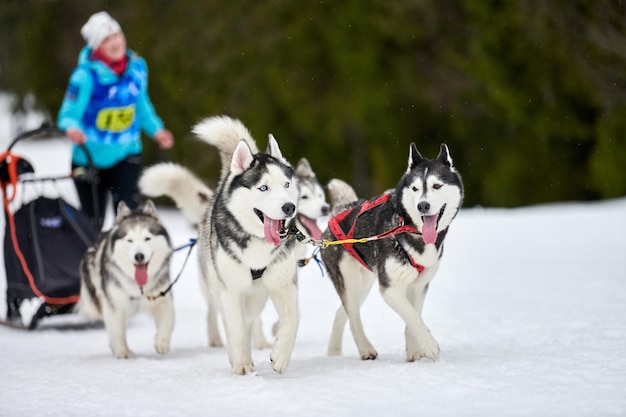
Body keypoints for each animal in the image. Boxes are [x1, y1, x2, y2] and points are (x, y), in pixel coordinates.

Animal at [75, 200, 173, 356]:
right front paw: (122, 352)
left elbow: (166, 321)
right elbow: (117, 331)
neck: (139, 287)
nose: (139, 256)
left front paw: (161, 343)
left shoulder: (162, 297)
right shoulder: (114, 305)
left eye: (147, 238)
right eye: (130, 240)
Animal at [195, 114, 300, 374]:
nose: (289, 207)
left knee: (251, 320)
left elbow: (292, 320)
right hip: (219, 292)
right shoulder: (231, 291)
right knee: (232, 324)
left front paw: (280, 356)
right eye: (263, 187)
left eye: (286, 184)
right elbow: (238, 331)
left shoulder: (284, 285)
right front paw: (242, 365)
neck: (258, 244)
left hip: (257, 300)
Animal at [322, 143, 464, 360]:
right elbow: (412, 315)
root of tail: (342, 210)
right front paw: (429, 345)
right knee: (353, 316)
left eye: (437, 186)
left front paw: (414, 351)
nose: (422, 205)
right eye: (415, 188)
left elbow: (413, 316)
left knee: (342, 312)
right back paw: (365, 349)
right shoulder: (389, 288)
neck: (407, 228)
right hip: (349, 279)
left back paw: (334, 351)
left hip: (365, 282)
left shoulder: (419, 286)